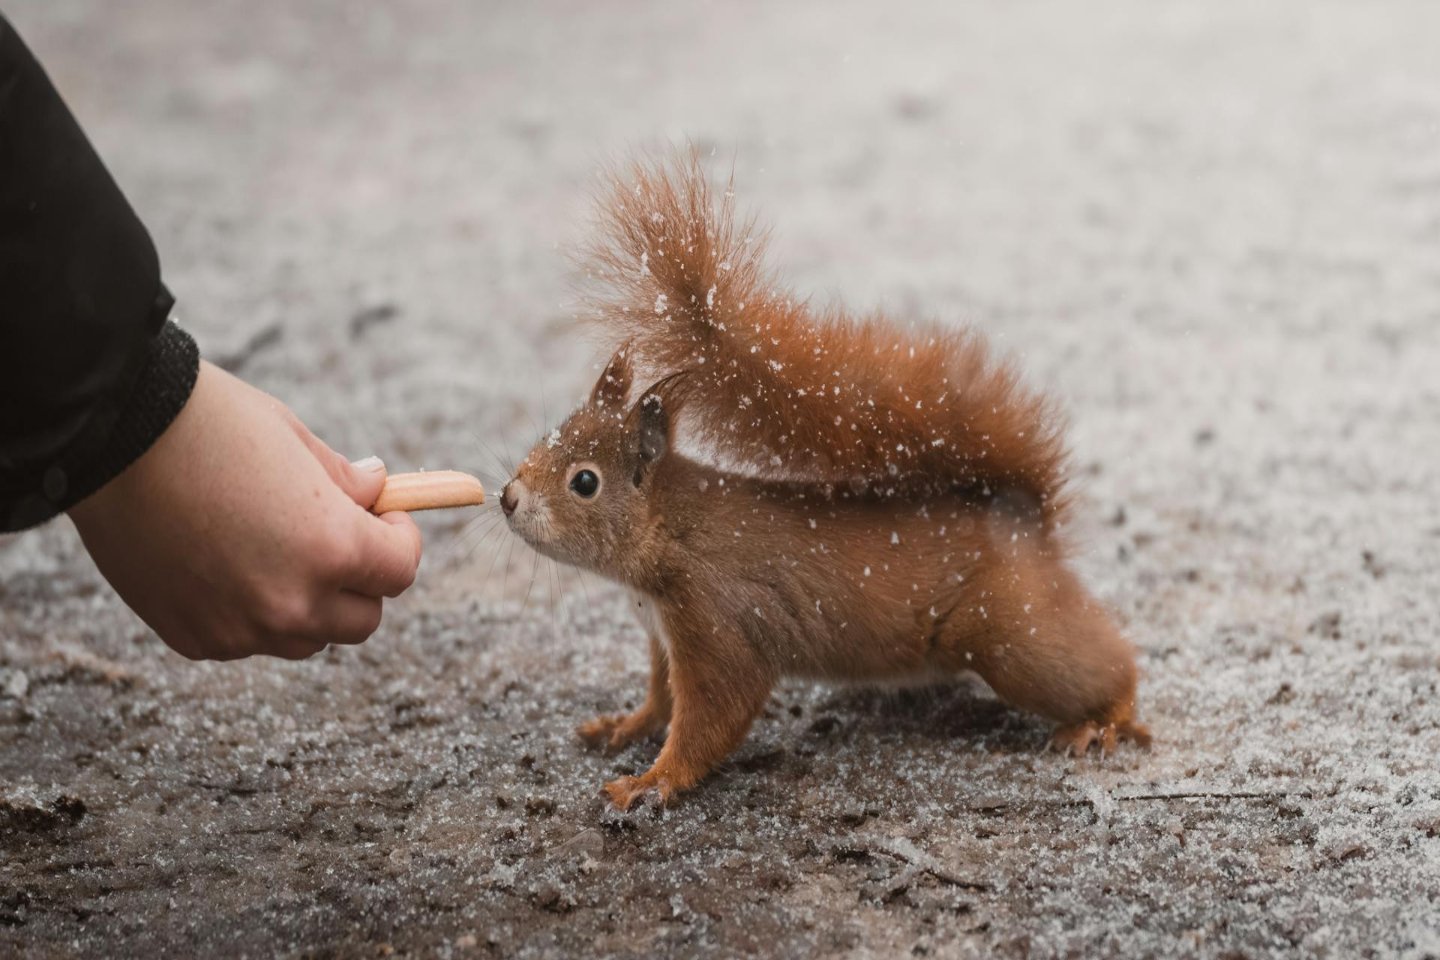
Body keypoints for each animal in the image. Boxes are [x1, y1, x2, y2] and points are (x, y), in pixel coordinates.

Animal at [501, 151, 1152, 811]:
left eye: (585, 482)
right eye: (547, 438)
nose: (507, 497)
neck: (669, 525)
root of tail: (1019, 517)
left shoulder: (716, 616)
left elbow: (716, 711)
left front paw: (652, 781)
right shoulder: (663, 634)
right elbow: (662, 698)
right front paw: (626, 725)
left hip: (1010, 633)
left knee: (1102, 665)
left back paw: (1106, 719)